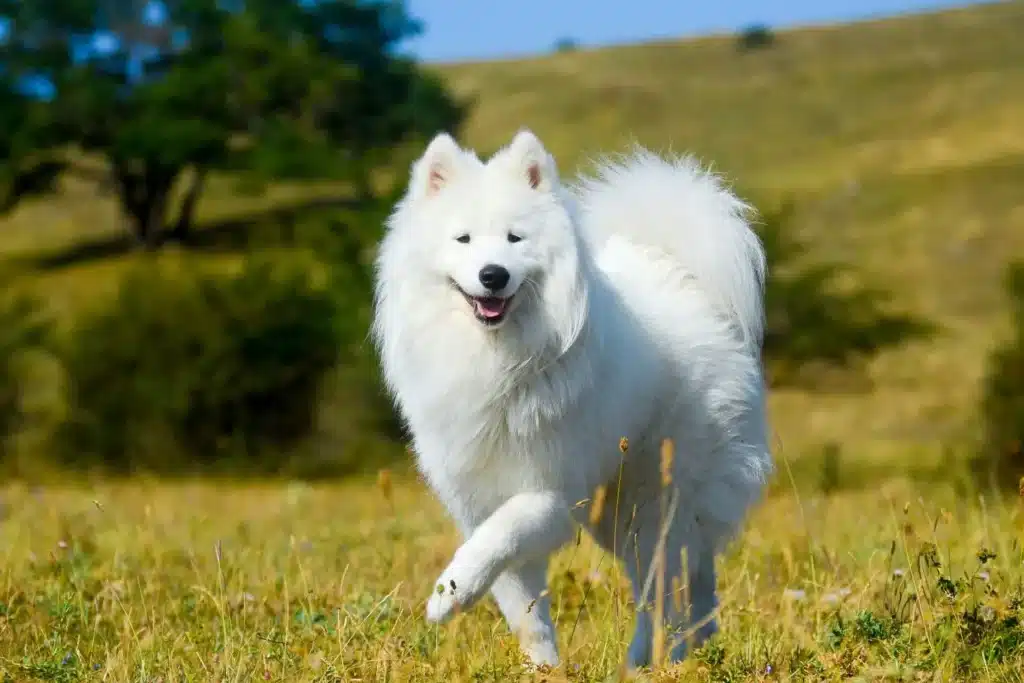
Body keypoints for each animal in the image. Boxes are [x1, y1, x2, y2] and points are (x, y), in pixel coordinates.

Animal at [372, 127, 770, 667]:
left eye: (515, 239)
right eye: (463, 239)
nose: (493, 274)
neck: (497, 361)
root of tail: (682, 277)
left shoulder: (551, 492)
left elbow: (499, 536)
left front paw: (449, 593)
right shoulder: (477, 496)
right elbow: (524, 609)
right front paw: (541, 668)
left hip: (655, 501)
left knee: (665, 588)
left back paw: (645, 662)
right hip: (623, 513)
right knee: (692, 577)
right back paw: (692, 645)